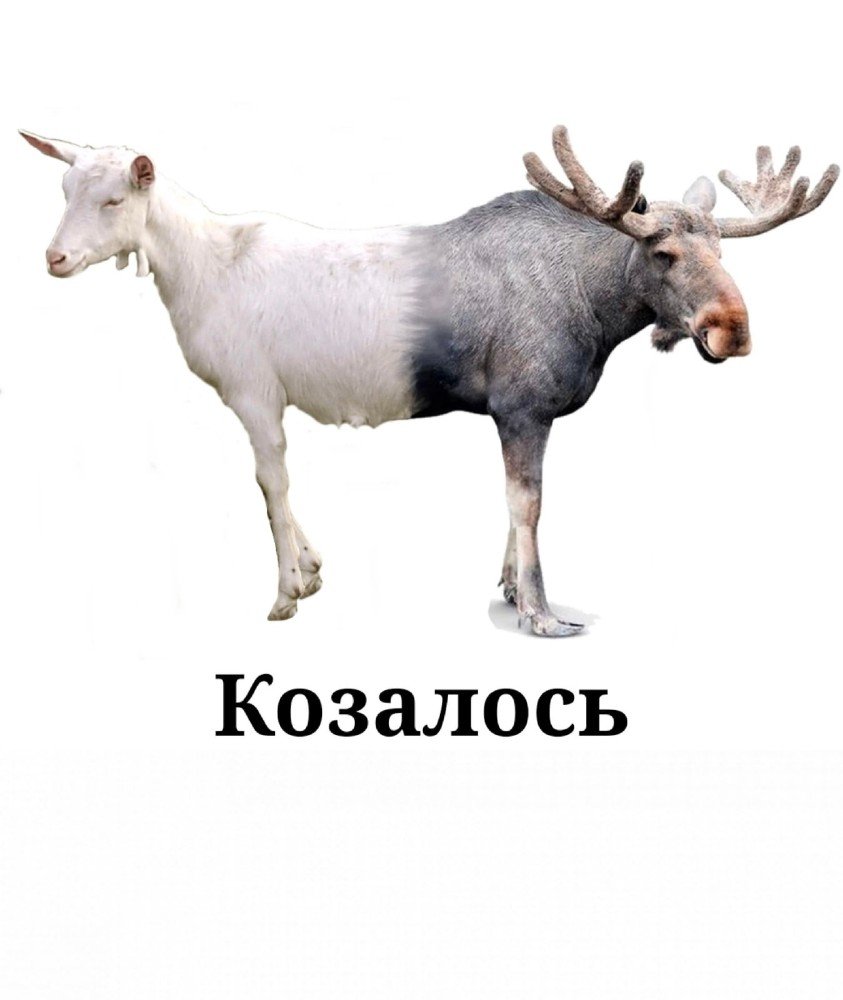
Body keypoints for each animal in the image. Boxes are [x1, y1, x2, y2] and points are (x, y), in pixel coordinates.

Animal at [19, 126, 838, 636]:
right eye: (663, 253)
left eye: (111, 200)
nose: (732, 329)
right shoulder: (262, 392)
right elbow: (522, 504)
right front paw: (540, 613)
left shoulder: (516, 412)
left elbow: (515, 504)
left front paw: (508, 589)